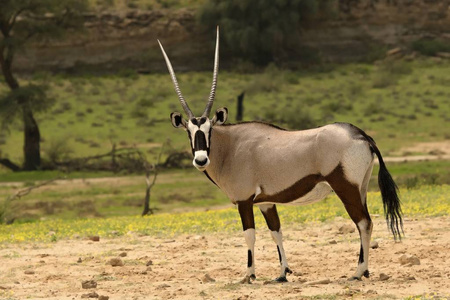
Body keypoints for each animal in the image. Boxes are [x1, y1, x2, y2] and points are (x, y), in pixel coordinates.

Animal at [157, 28, 400, 284]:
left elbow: (250, 235)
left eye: (209, 130)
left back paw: (358, 271)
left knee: (363, 222)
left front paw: (249, 275)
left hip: (346, 188)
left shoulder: (244, 201)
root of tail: (361, 135)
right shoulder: (266, 203)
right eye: (189, 132)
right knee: (366, 221)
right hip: (360, 188)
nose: (201, 160)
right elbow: (277, 233)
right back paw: (365, 270)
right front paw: (283, 273)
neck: (231, 147)